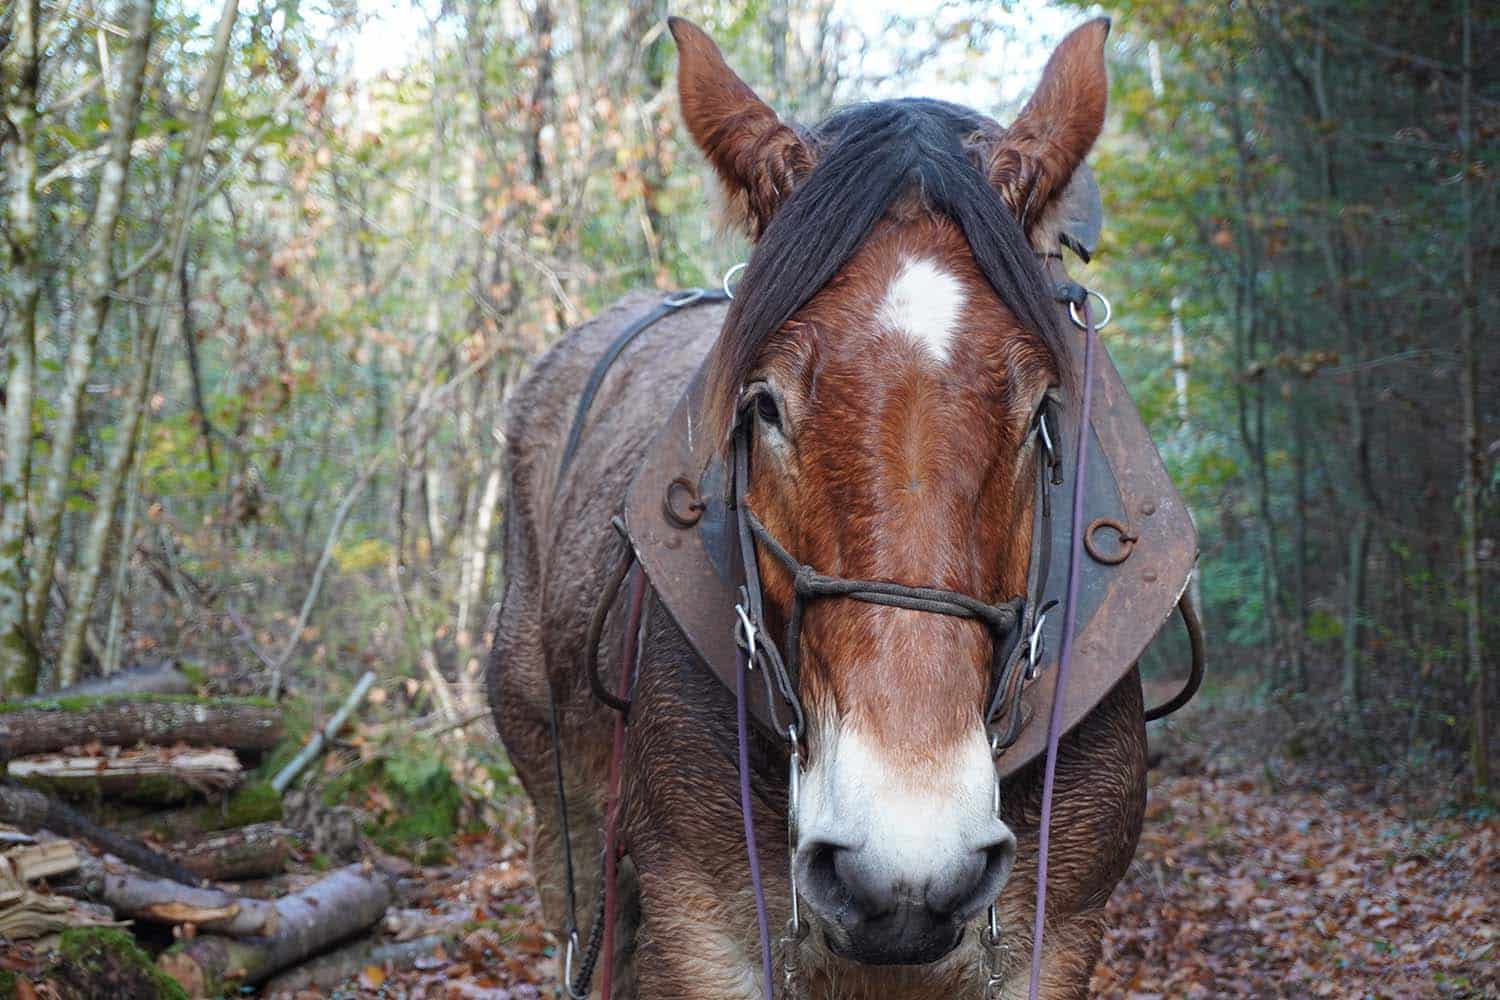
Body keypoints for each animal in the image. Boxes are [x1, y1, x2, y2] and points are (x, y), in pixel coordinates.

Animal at [486, 17, 1140, 1000]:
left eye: (1038, 415)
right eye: (763, 406)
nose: (907, 858)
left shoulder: (1057, 937)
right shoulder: (699, 927)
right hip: (560, 817)